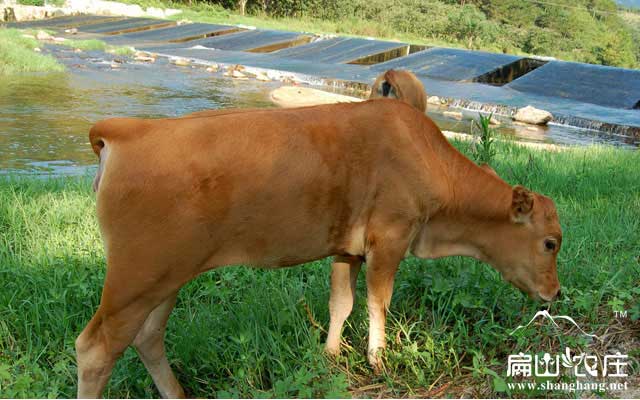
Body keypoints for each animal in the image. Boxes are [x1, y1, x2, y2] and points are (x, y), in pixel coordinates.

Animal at [79, 99, 560, 396]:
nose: (555, 293)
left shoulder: (347, 247)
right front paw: (378, 361)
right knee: (96, 349)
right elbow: (378, 303)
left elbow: (341, 303)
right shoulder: (389, 238)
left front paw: (329, 357)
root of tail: (127, 130)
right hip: (136, 276)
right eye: (550, 242)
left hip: (166, 277)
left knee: (147, 337)